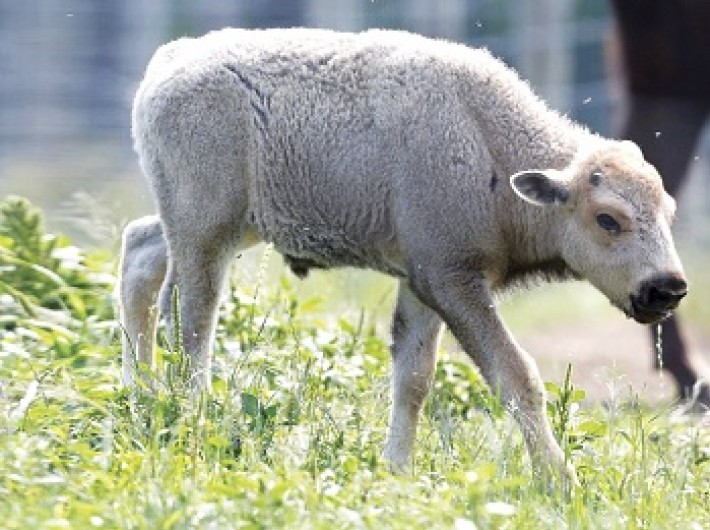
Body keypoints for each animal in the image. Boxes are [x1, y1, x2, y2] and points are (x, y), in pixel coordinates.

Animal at [118, 26, 688, 476]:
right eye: (608, 219)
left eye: (670, 211)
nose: (667, 288)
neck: (491, 147)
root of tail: (170, 60)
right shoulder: (453, 281)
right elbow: (515, 374)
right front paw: (558, 481)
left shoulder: (422, 283)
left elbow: (413, 378)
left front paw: (397, 469)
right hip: (206, 233)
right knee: (190, 321)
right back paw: (191, 418)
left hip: (217, 228)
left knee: (140, 255)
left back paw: (138, 399)